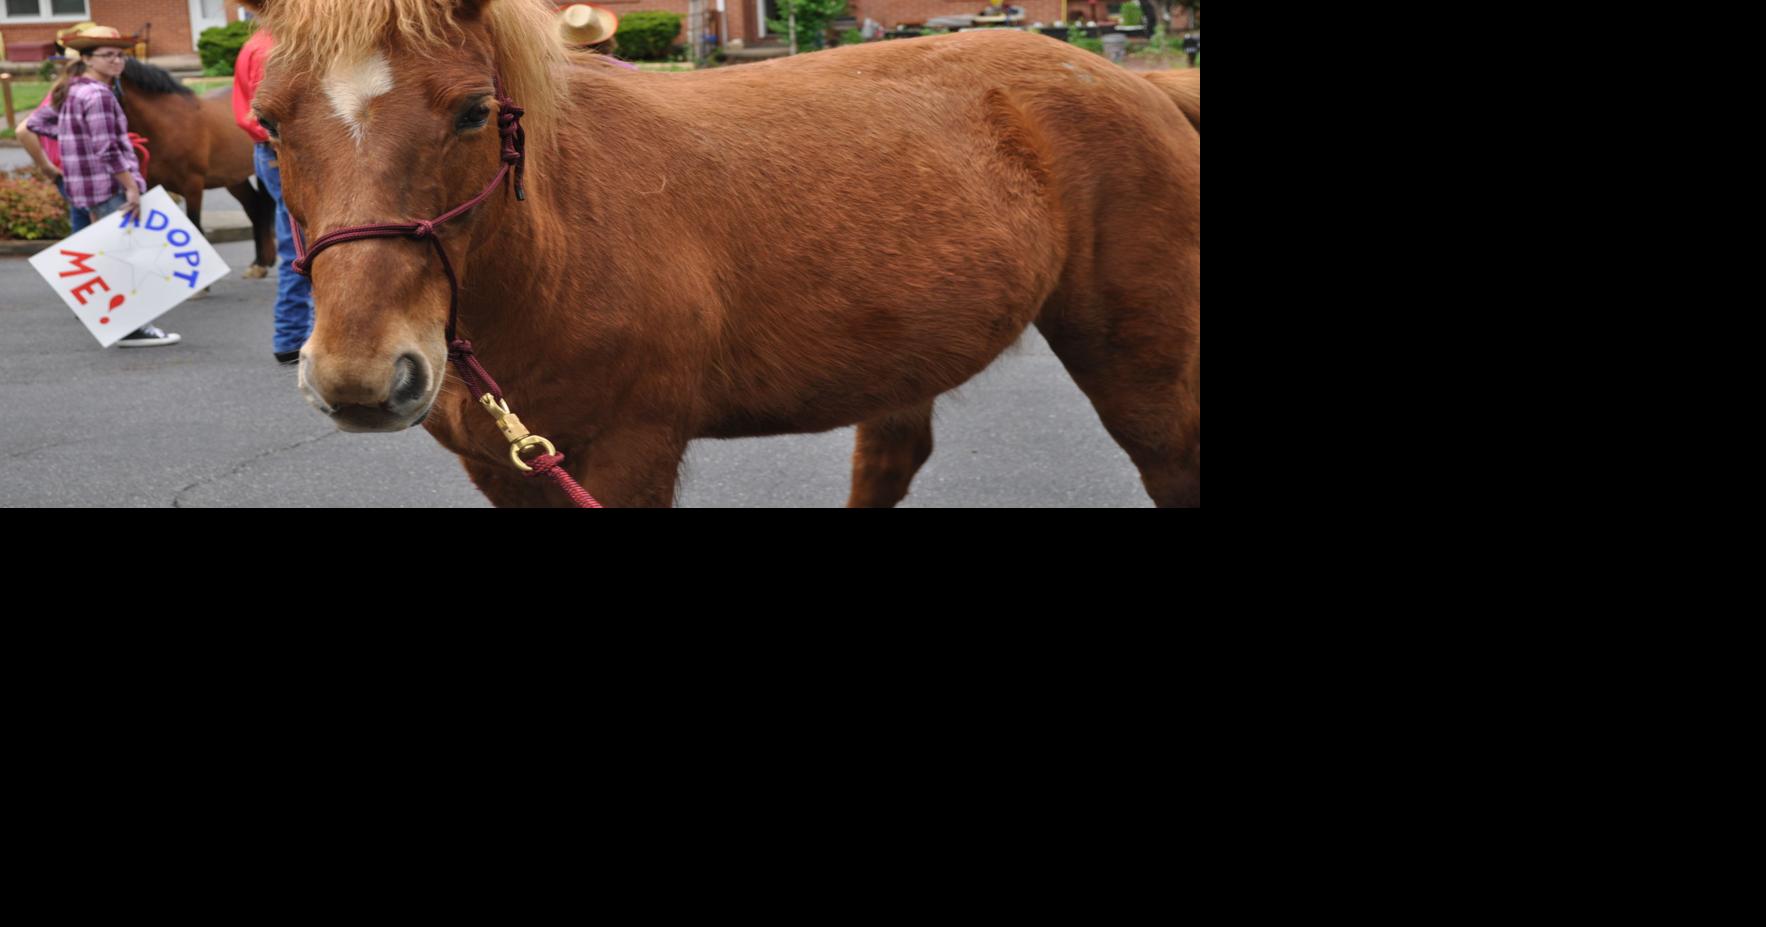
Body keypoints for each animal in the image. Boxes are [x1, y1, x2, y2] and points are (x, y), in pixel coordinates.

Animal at [120, 58, 279, 277]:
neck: (169, 123)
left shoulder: (193, 186)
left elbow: (196, 227)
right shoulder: (150, 186)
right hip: (233, 178)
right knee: (255, 207)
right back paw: (259, 262)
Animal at [254, 0, 1200, 507]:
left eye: (474, 112)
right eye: (267, 119)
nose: (361, 377)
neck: (552, 256)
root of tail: (1141, 84)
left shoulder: (630, 455)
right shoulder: (506, 468)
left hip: (1137, 364)